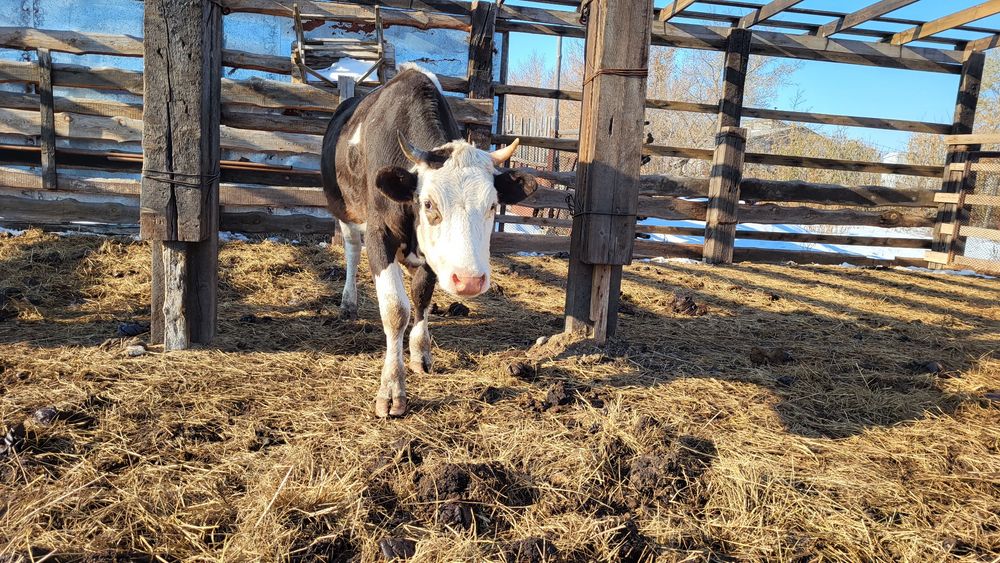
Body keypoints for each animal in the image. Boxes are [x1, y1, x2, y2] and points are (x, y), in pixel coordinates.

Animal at [321, 65, 538, 418]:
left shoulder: (434, 258)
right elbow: (396, 309)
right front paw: (392, 389)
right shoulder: (379, 235)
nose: (469, 280)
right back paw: (348, 302)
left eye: (493, 205)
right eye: (428, 204)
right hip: (342, 206)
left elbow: (421, 297)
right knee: (352, 248)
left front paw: (421, 354)